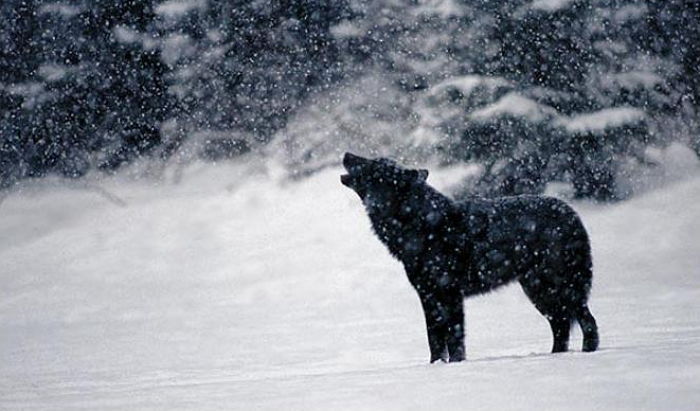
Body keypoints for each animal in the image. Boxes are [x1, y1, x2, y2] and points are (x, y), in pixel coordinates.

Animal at [340, 154, 596, 364]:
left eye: (374, 164)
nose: (346, 154)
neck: (419, 225)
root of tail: (573, 214)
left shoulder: (450, 292)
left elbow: (454, 338)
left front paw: (456, 365)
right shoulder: (428, 295)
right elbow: (434, 338)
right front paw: (436, 366)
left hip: (559, 289)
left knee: (587, 322)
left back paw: (587, 353)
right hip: (539, 292)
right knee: (561, 325)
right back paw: (556, 356)